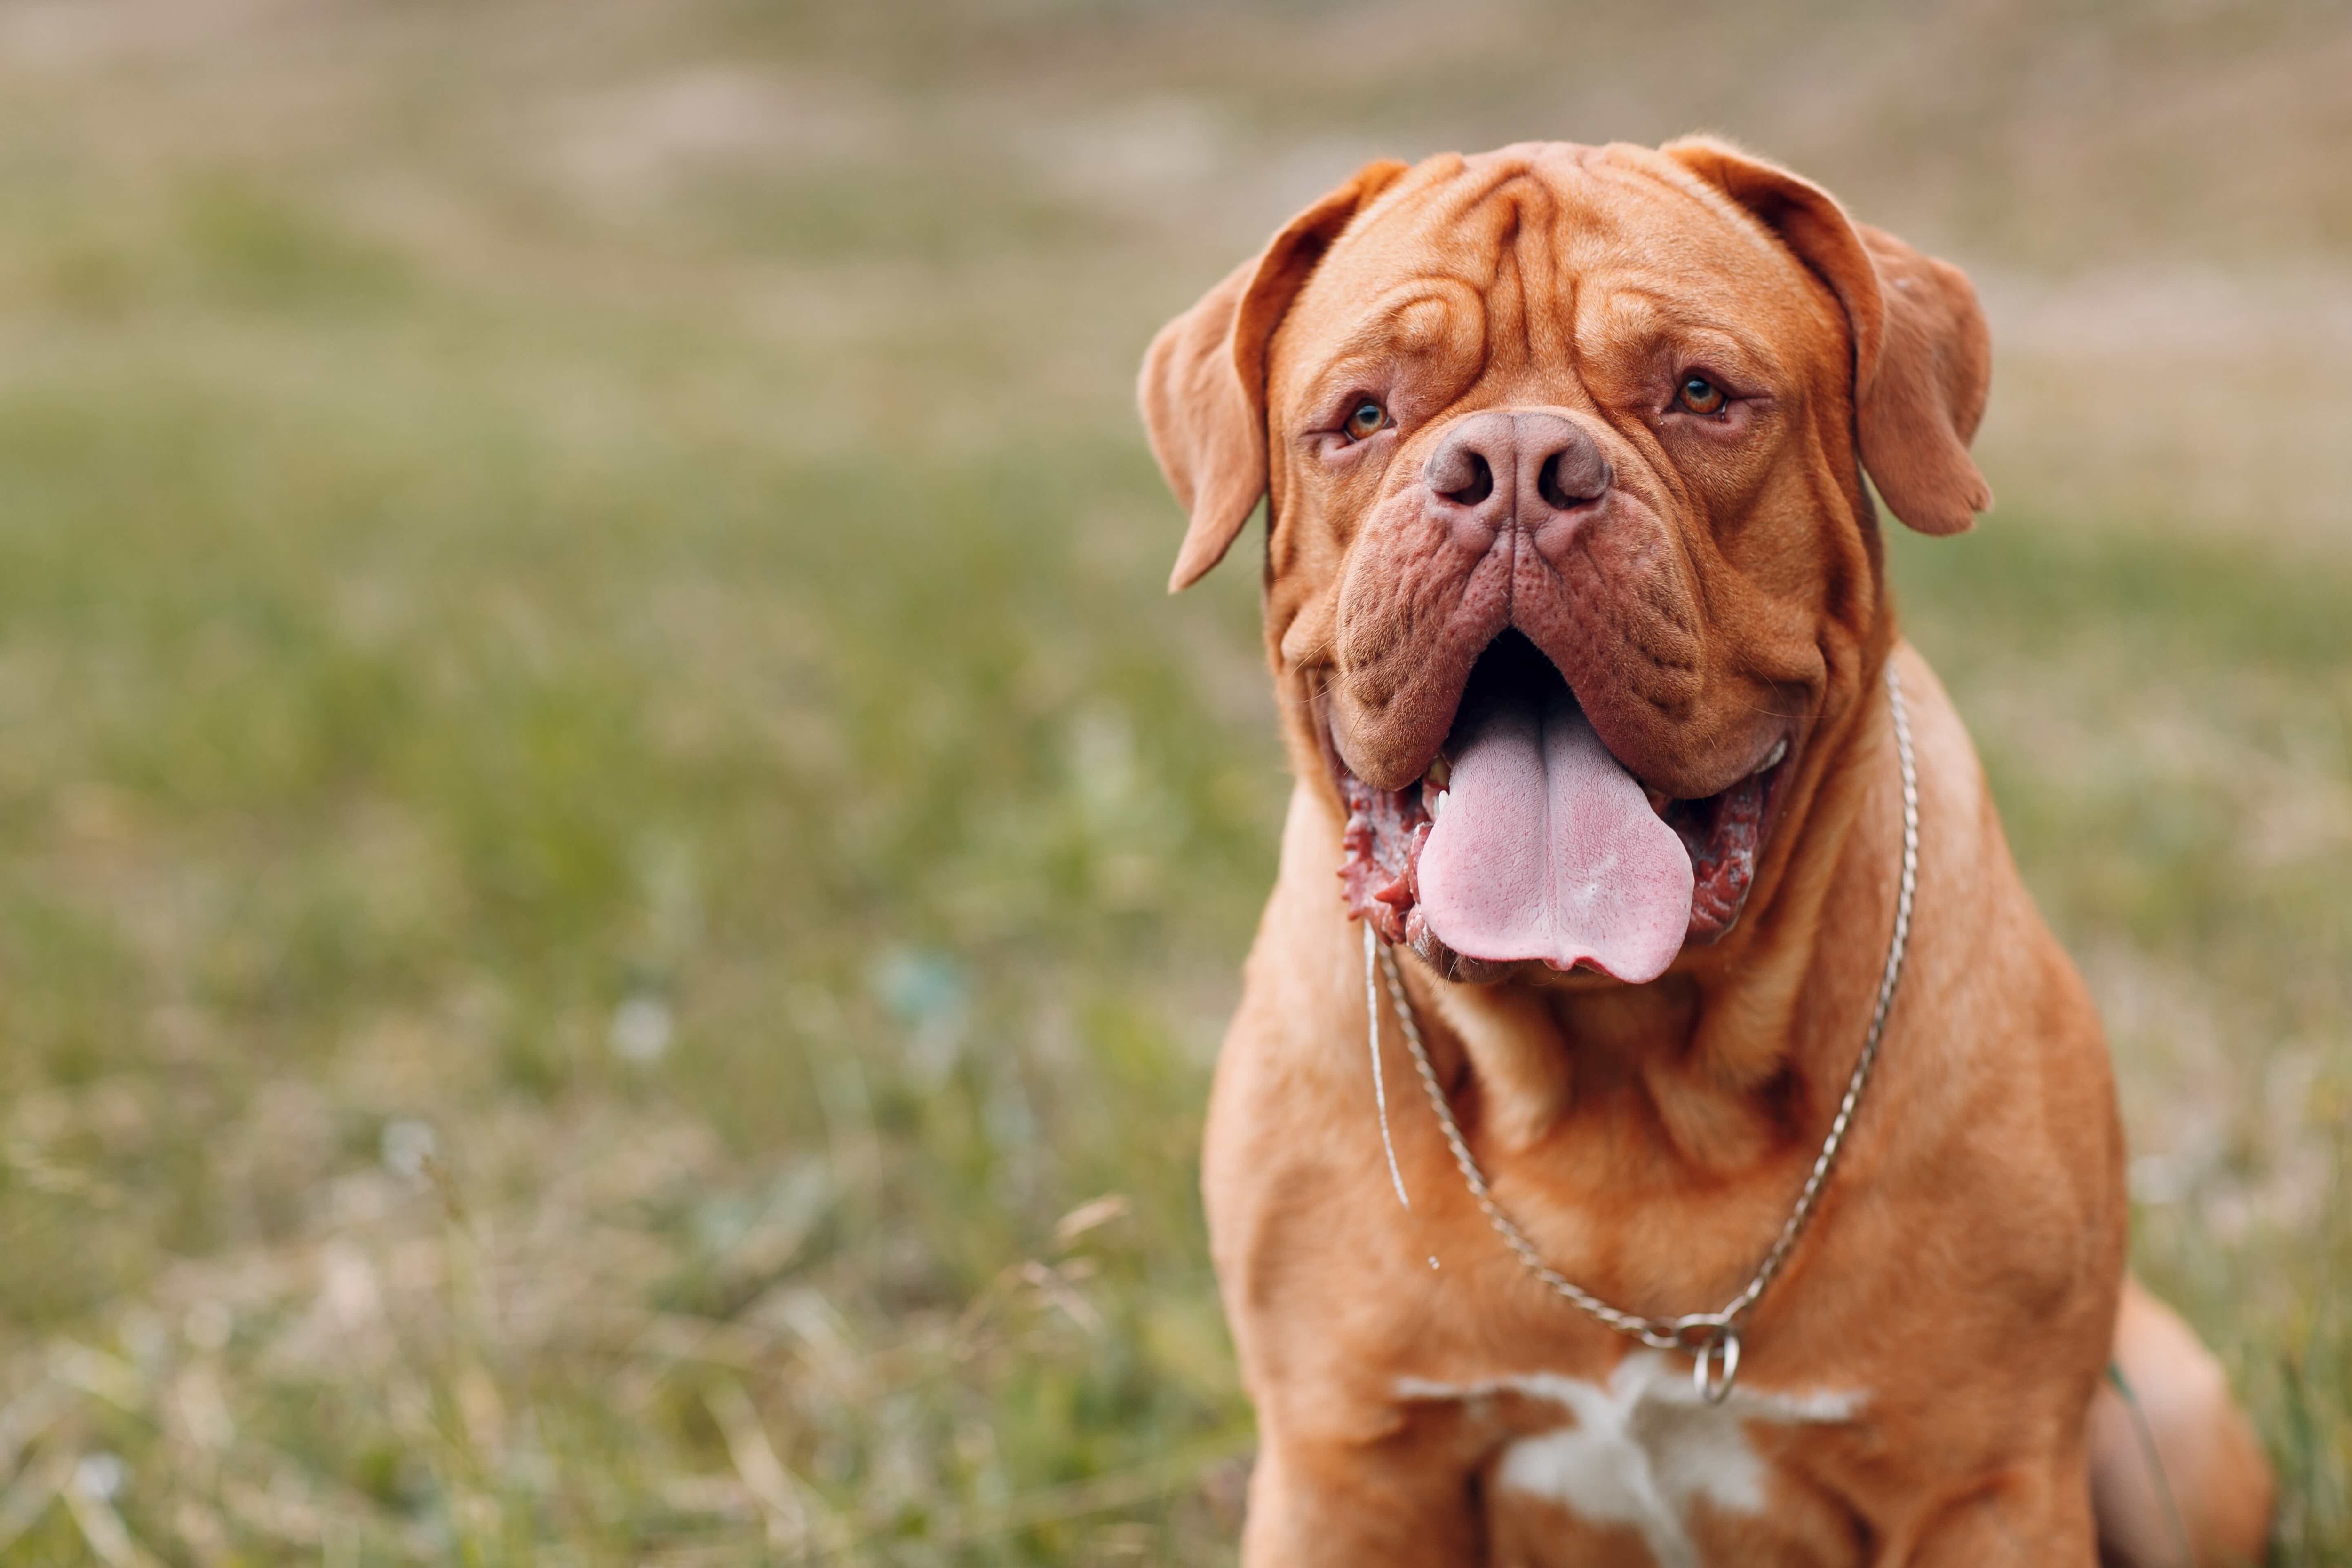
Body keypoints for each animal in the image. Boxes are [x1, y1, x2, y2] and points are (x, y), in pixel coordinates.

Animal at [1138, 141, 2277, 1561]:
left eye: (1698, 393)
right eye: (1360, 414)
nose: (1514, 465)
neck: (1620, 1082)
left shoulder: (1984, 1481)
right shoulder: (1346, 1472)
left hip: (2178, 1430)